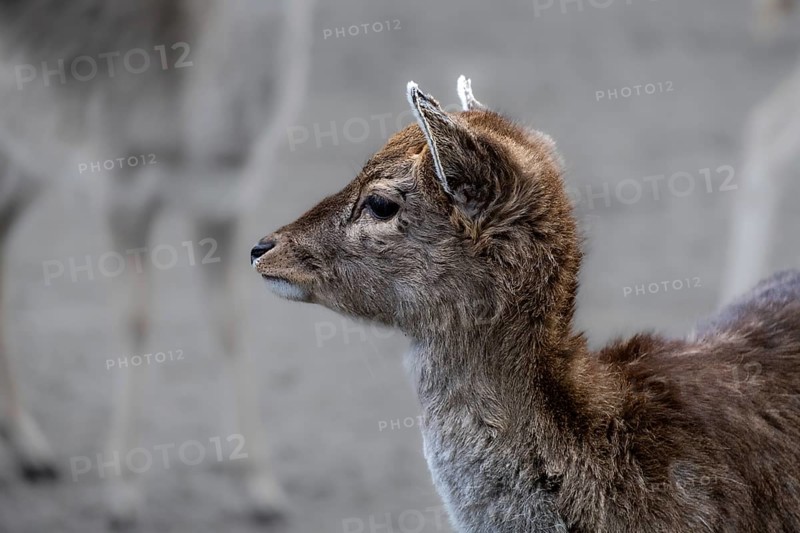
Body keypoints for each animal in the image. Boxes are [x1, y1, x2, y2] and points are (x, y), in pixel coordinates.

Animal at [0, 0, 314, 526]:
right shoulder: (121, 187)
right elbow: (137, 320)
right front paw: (121, 494)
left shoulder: (223, 200)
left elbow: (231, 322)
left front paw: (261, 488)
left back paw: (31, 453)